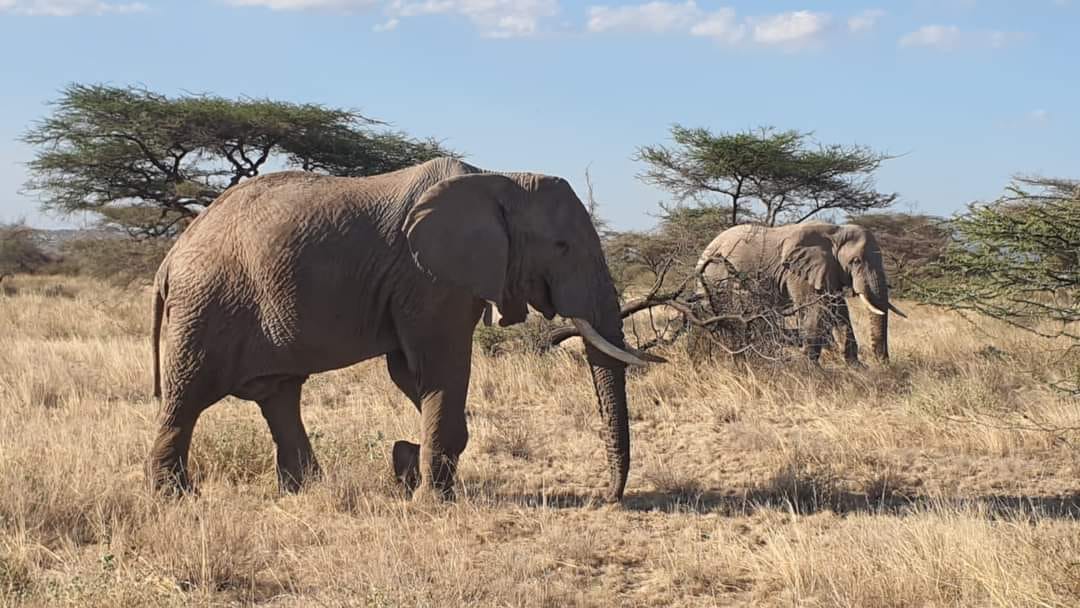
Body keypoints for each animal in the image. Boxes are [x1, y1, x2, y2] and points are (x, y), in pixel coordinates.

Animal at [150, 156, 656, 505]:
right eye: (562, 246)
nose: (608, 498)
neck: (500, 177)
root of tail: (170, 259)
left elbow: (412, 374)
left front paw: (408, 467)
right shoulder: (429, 279)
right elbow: (440, 369)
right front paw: (431, 498)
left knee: (279, 396)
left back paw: (304, 492)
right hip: (206, 308)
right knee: (186, 399)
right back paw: (174, 500)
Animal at [691, 223, 902, 367]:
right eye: (856, 261)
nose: (883, 363)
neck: (835, 232)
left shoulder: (828, 270)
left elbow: (839, 310)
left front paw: (856, 367)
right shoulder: (797, 272)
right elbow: (815, 308)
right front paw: (811, 369)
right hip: (718, 279)